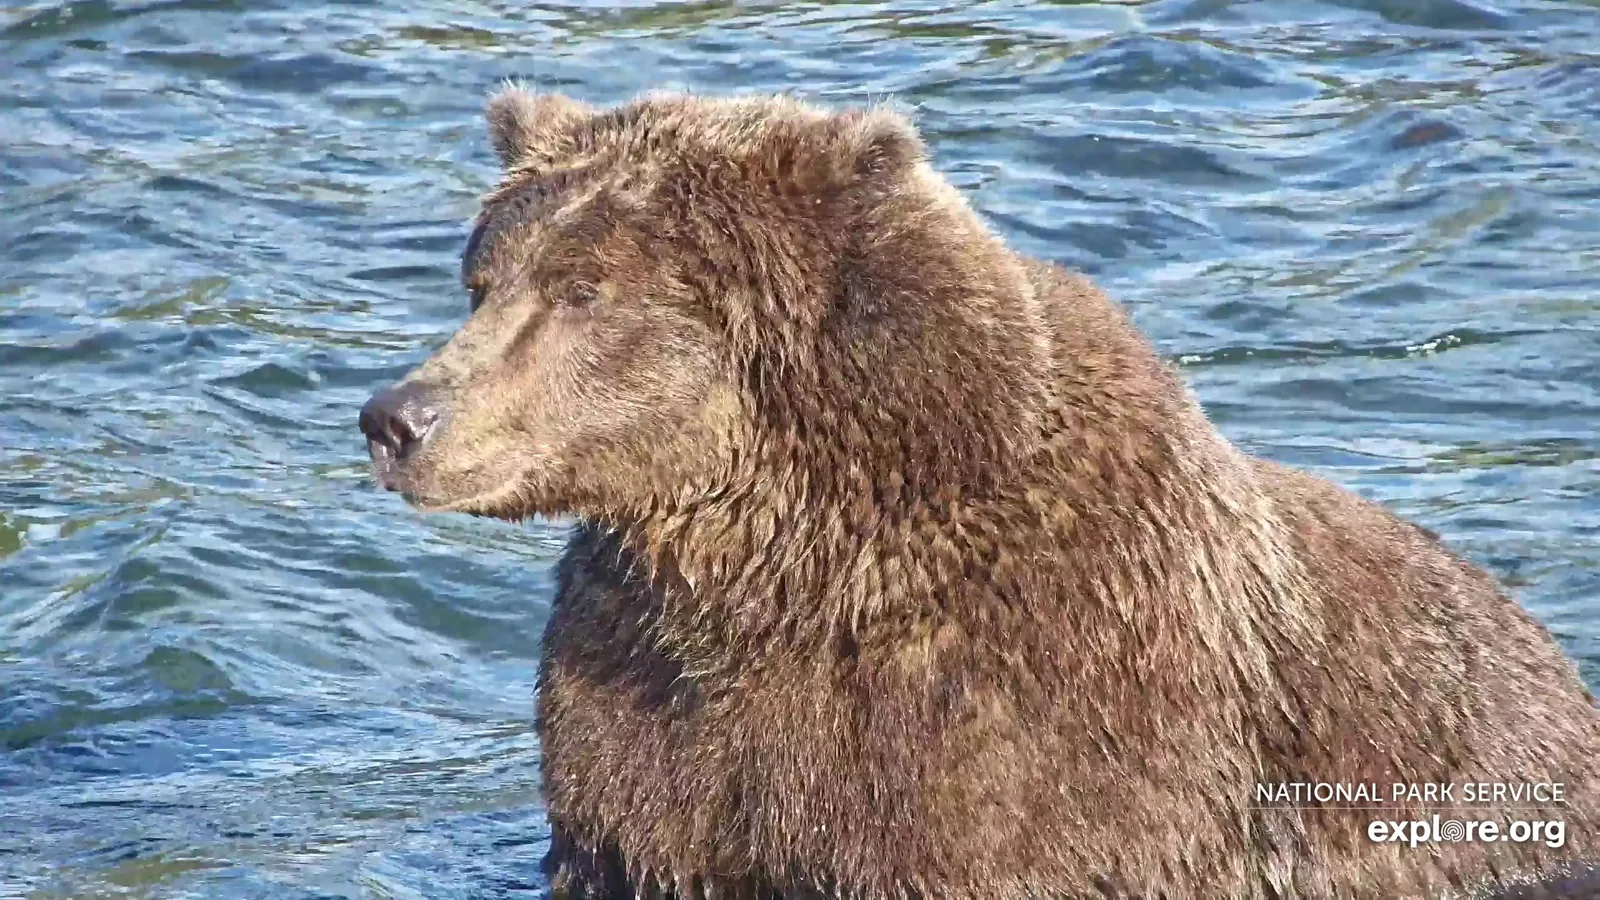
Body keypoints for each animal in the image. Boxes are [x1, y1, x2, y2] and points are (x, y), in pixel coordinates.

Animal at [357, 87, 1600, 899]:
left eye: (583, 289)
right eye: (482, 278)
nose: (397, 417)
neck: (786, 563)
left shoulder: (1040, 718)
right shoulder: (646, 704)